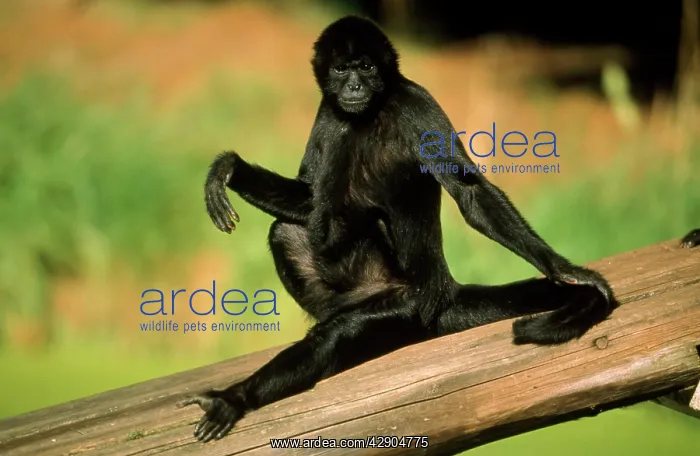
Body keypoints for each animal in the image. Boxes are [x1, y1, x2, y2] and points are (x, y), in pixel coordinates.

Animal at [177, 16, 617, 442]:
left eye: (367, 68)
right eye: (342, 69)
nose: (354, 85)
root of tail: (445, 291)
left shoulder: (415, 101)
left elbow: (468, 190)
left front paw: (561, 268)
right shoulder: (327, 111)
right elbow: (309, 196)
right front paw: (230, 169)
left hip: (406, 302)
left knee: (337, 330)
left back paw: (233, 398)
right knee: (288, 230)